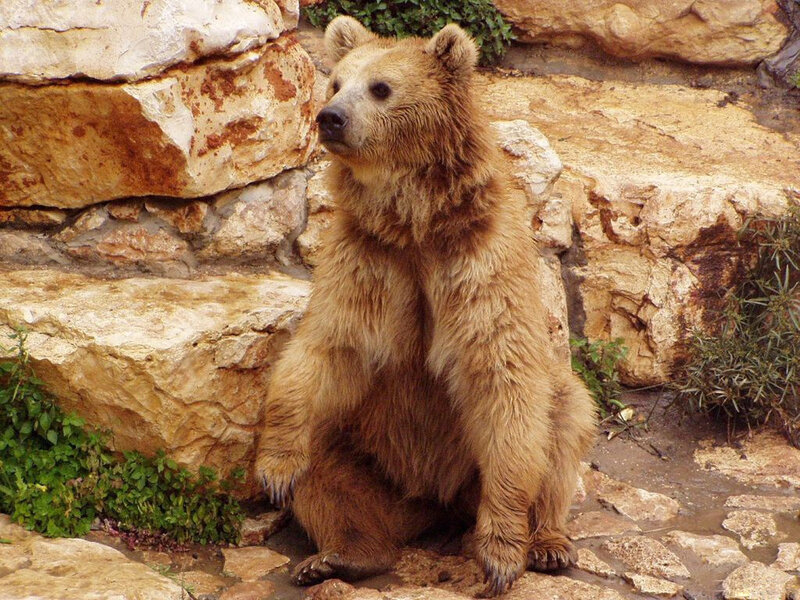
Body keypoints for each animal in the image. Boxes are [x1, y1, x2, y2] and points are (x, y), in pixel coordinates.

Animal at [255, 16, 596, 597]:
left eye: (380, 87)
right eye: (335, 83)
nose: (330, 118)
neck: (415, 223)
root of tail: (431, 501)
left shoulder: (476, 266)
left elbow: (503, 378)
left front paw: (501, 556)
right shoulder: (368, 260)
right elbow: (325, 348)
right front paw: (275, 471)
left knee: (565, 419)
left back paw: (548, 544)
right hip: (366, 448)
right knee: (330, 476)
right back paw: (339, 556)